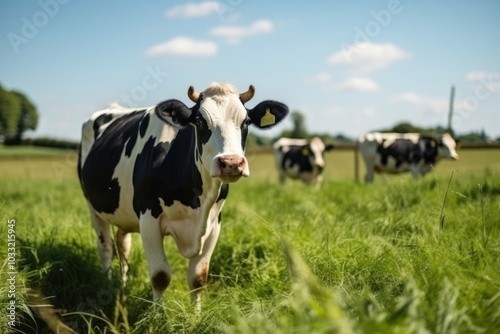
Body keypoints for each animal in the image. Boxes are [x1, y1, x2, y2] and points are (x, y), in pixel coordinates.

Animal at [78, 83, 290, 306]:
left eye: (246, 121)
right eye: (199, 121)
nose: (231, 162)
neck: (196, 202)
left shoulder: (214, 223)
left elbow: (198, 278)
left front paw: (196, 314)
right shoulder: (148, 218)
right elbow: (160, 276)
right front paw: (157, 315)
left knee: (122, 244)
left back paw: (123, 286)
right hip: (92, 206)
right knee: (106, 248)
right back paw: (110, 285)